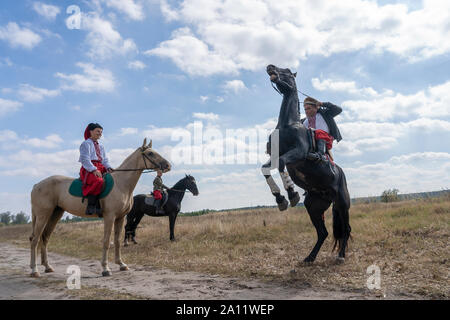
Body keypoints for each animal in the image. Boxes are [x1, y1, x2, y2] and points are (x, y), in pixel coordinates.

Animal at [29, 139, 171, 276]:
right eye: (150, 153)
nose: (168, 166)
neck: (121, 184)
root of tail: (37, 185)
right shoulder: (110, 216)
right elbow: (107, 241)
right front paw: (105, 268)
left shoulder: (120, 217)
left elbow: (117, 241)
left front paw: (121, 264)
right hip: (43, 215)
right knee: (35, 239)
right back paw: (34, 270)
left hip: (55, 214)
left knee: (45, 238)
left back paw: (47, 267)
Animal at [262, 64, 354, 262]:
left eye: (287, 71)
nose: (270, 67)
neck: (288, 125)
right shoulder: (275, 155)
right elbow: (265, 169)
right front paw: (280, 199)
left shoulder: (297, 153)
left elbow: (281, 164)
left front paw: (291, 194)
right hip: (314, 207)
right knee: (323, 233)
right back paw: (310, 257)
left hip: (342, 203)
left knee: (345, 229)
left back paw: (341, 256)